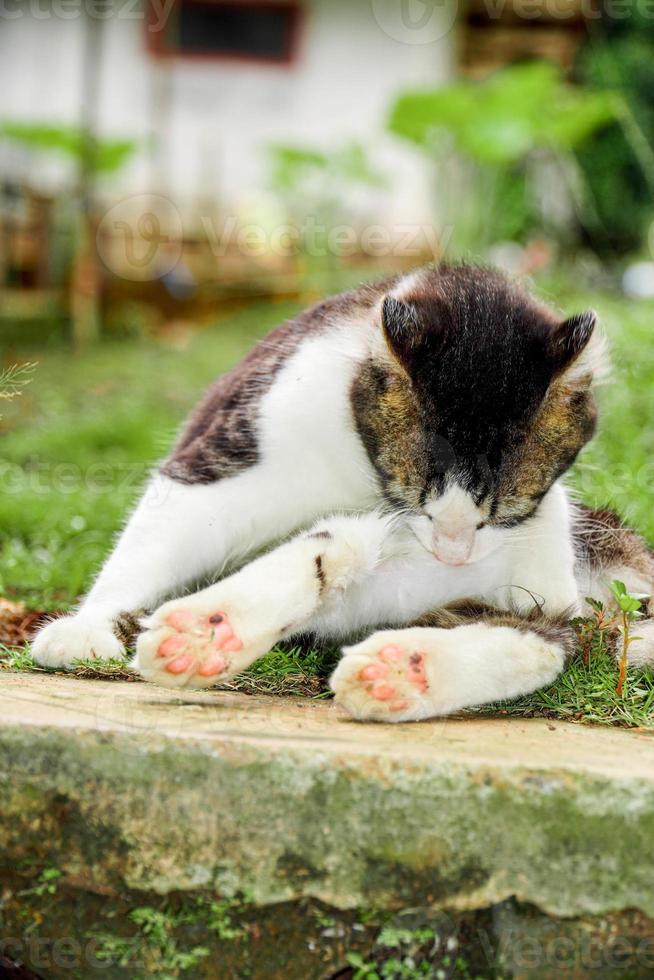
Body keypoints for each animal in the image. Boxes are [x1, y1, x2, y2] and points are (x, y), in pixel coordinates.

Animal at [32, 264, 654, 724]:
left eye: (501, 513)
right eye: (417, 496)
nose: (452, 552)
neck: (359, 466)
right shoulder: (231, 447)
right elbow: (157, 534)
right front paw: (87, 625)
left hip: (555, 567)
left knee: (549, 634)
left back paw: (400, 669)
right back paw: (214, 630)